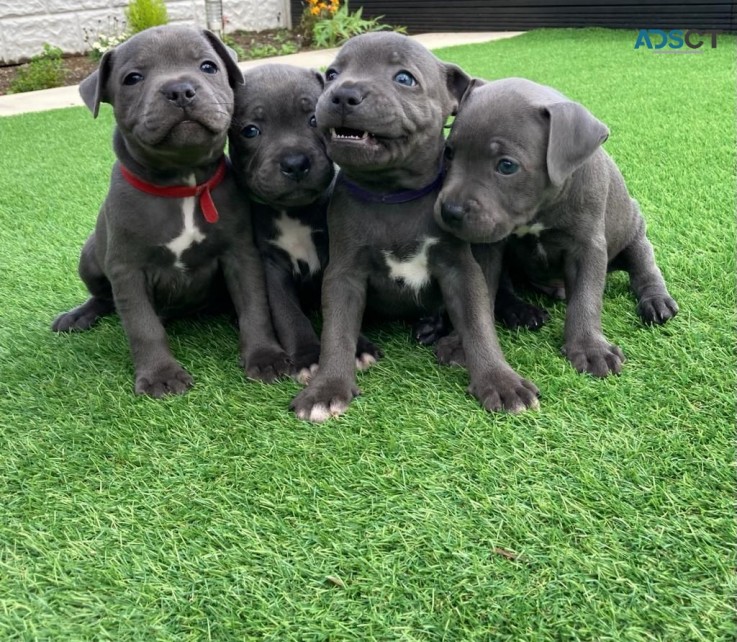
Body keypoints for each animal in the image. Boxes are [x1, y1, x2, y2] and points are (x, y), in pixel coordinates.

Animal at [52, 27, 290, 396]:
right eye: (133, 78)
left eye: (208, 66)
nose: (180, 89)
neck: (182, 184)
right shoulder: (127, 270)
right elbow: (143, 326)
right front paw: (160, 375)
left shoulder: (241, 254)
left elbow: (255, 307)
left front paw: (264, 356)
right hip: (90, 255)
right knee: (104, 298)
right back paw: (78, 315)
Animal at [288, 32, 540, 420]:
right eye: (332, 74)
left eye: (404, 78)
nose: (343, 93)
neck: (393, 195)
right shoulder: (344, 273)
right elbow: (337, 330)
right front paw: (326, 388)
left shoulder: (460, 269)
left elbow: (479, 323)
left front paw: (500, 381)